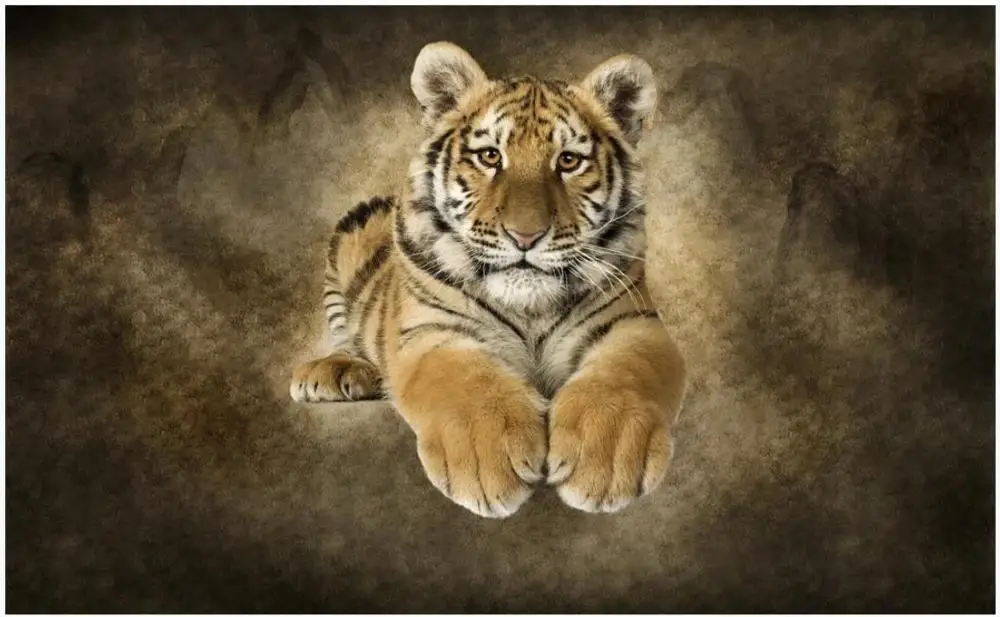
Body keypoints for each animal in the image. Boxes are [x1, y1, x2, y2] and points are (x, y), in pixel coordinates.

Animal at [290, 42, 687, 518]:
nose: (525, 236)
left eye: (568, 161)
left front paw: (605, 460)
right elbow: (467, 383)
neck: (531, 308)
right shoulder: (433, 331)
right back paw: (332, 372)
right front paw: (488, 461)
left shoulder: (634, 324)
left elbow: (622, 377)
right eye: (491, 156)